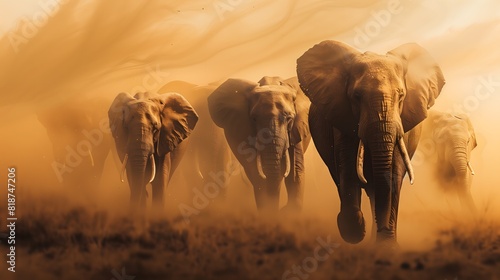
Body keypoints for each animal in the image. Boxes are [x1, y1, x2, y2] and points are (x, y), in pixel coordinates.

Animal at [206, 75, 308, 211]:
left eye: (289, 118)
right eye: (254, 119)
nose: (280, 209)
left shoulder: (296, 127)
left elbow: (295, 171)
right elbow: (257, 173)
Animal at [296, 40, 446, 245]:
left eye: (401, 96)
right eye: (357, 96)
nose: (382, 228)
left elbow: (394, 172)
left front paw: (386, 245)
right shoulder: (342, 118)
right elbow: (347, 167)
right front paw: (355, 230)